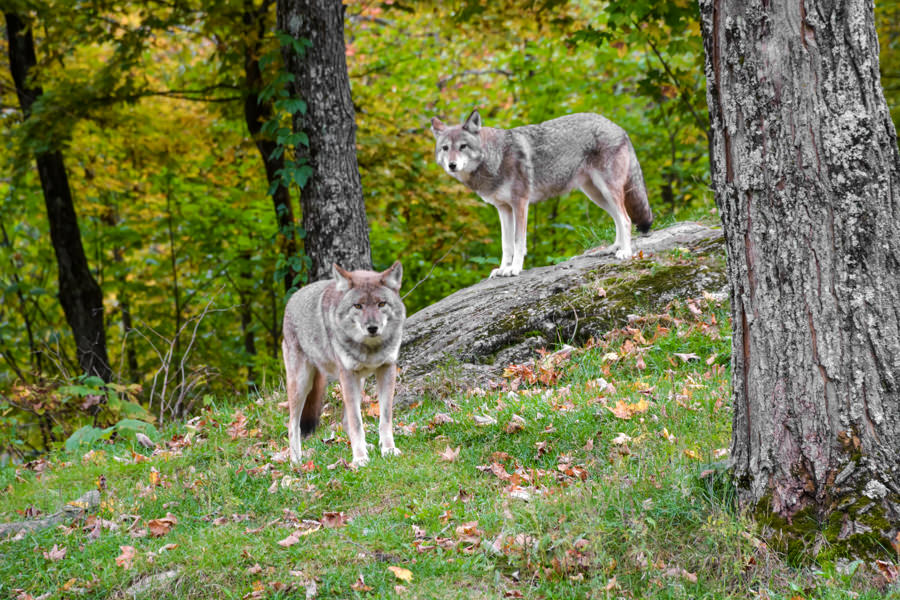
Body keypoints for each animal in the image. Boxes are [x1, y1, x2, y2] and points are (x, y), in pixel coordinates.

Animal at [284, 262, 406, 468]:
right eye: (358, 306)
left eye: (381, 304)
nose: (372, 328)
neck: (370, 348)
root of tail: (292, 298)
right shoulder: (347, 374)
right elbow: (357, 422)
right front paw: (359, 459)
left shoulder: (387, 369)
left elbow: (385, 418)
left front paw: (388, 449)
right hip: (302, 385)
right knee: (292, 425)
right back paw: (296, 462)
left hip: (359, 381)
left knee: (344, 421)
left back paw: (368, 446)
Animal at [430, 110, 652, 278]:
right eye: (445, 148)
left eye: (463, 146)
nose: (452, 165)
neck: (495, 158)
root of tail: (618, 127)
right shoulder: (503, 209)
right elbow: (506, 244)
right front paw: (502, 269)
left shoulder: (520, 203)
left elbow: (518, 242)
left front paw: (514, 269)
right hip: (597, 195)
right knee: (618, 219)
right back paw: (614, 248)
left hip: (607, 190)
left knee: (625, 219)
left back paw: (625, 252)